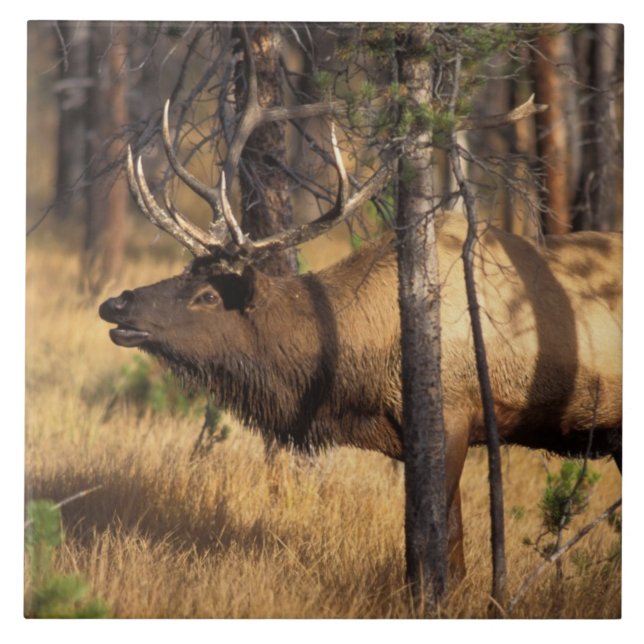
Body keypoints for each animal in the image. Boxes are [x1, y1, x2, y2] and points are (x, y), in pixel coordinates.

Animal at [99, 57, 622, 581]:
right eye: (185, 272)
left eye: (207, 295)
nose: (116, 304)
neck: (354, 374)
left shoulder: (454, 413)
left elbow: (441, 542)